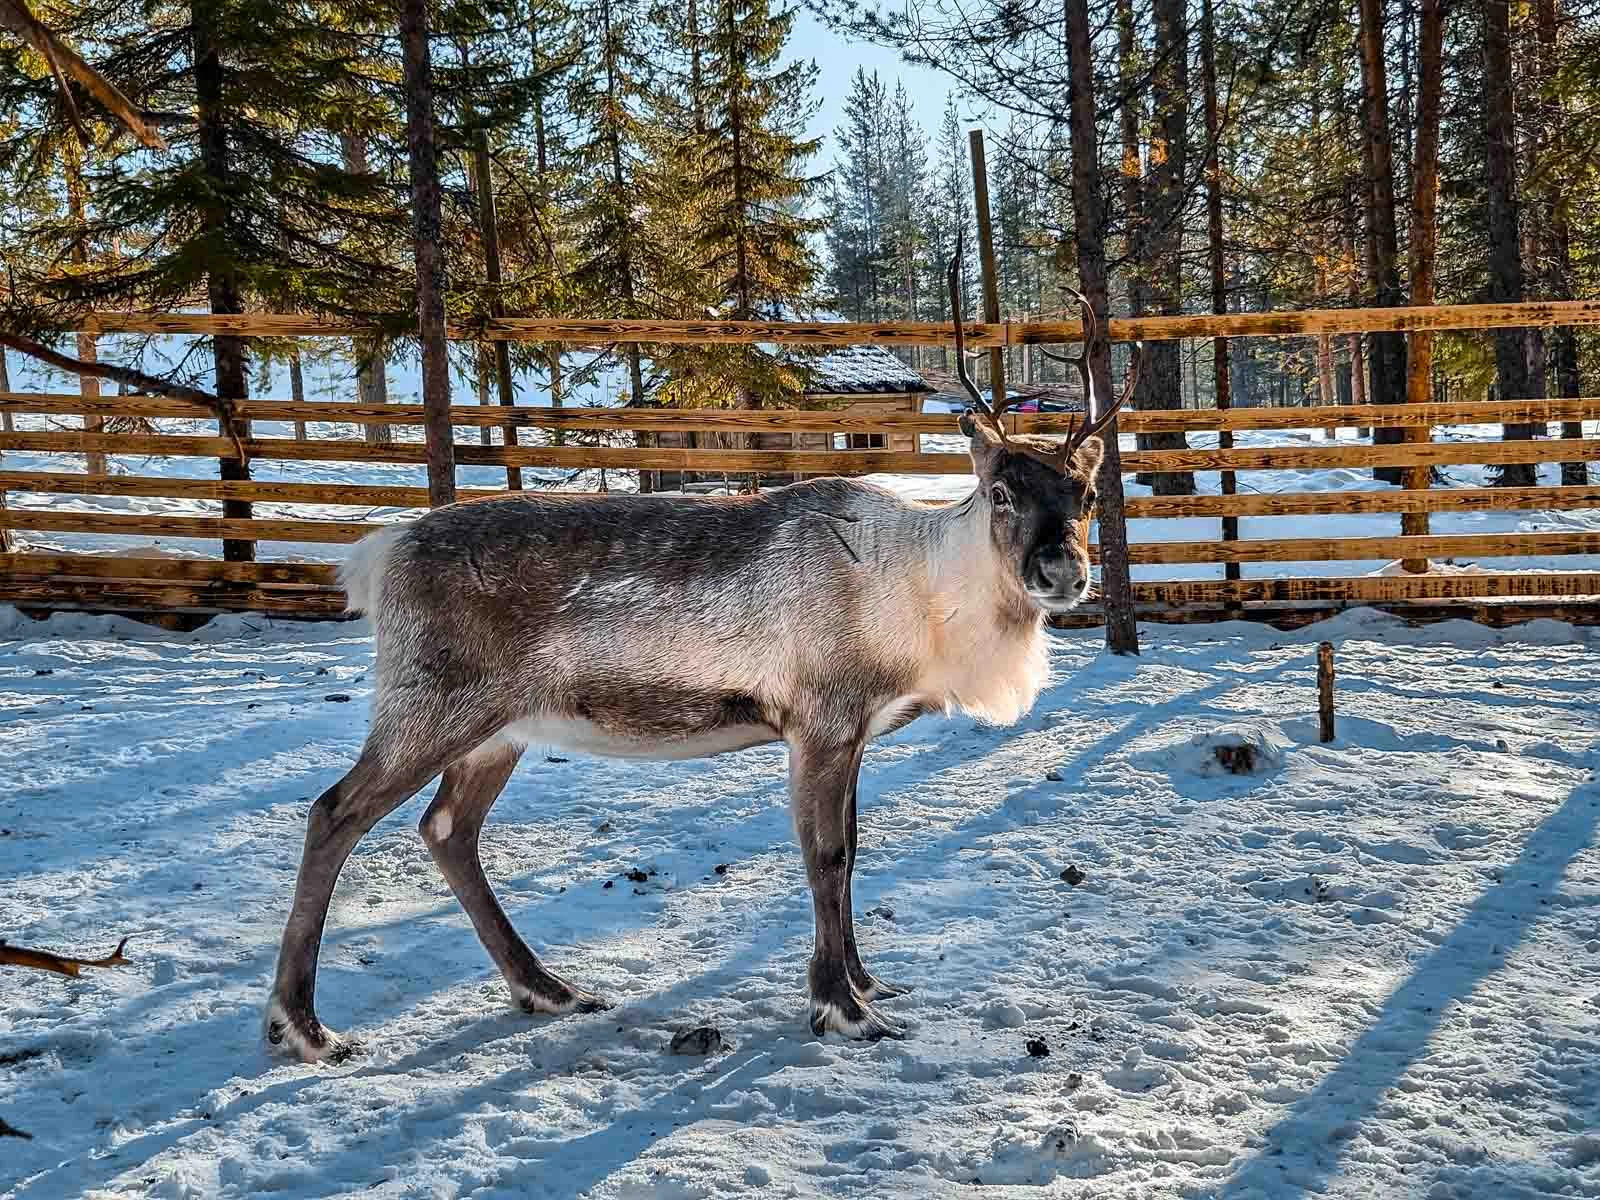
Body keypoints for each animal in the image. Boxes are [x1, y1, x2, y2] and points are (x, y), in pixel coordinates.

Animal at [265, 254, 1139, 1062]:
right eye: (1001, 494)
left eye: (1088, 494)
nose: (1061, 572)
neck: (921, 598)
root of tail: (377, 556)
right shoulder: (820, 721)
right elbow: (825, 856)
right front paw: (841, 1007)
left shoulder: (855, 729)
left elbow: (855, 850)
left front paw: (865, 980)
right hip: (431, 706)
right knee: (334, 813)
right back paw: (303, 1026)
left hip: (497, 730)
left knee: (447, 829)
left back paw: (545, 988)